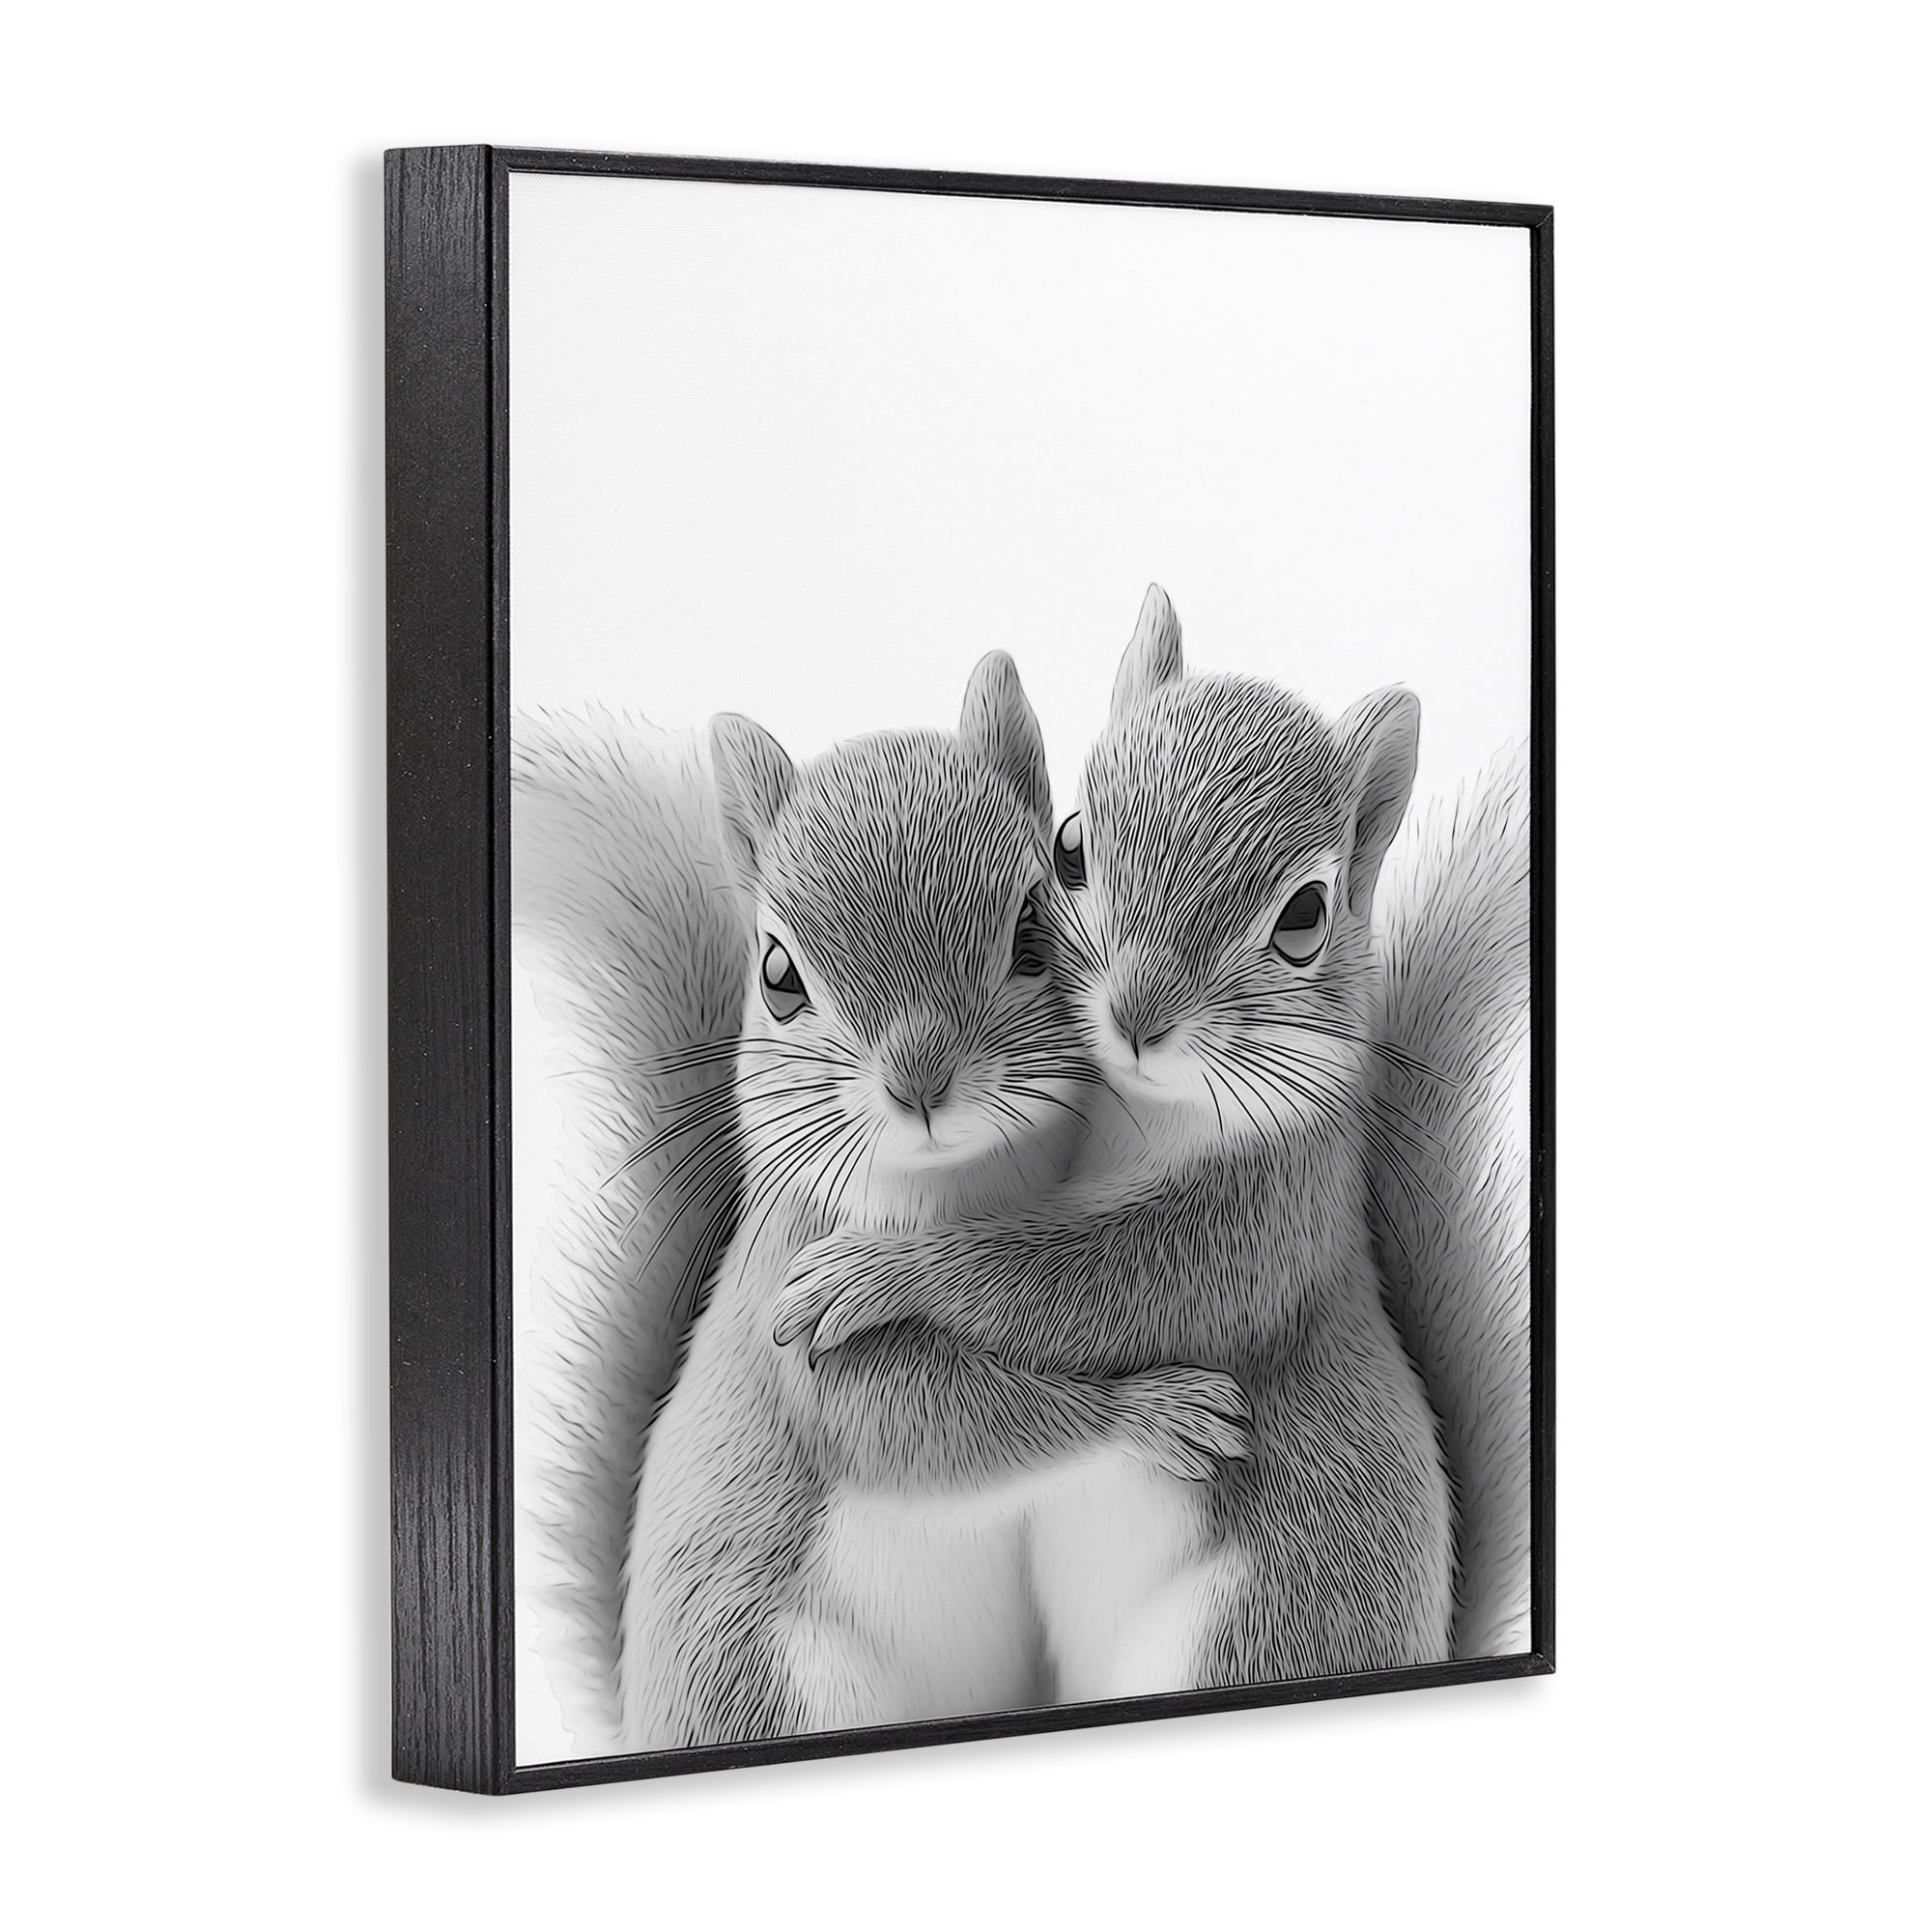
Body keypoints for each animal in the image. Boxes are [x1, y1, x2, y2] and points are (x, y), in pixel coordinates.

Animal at [772, 586, 1467, 1693]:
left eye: (1305, 914)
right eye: (1069, 845)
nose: (1137, 1015)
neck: (1133, 1115)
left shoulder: (1267, 1218)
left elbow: (1098, 1286)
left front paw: (878, 1271)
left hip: (1243, 1636)